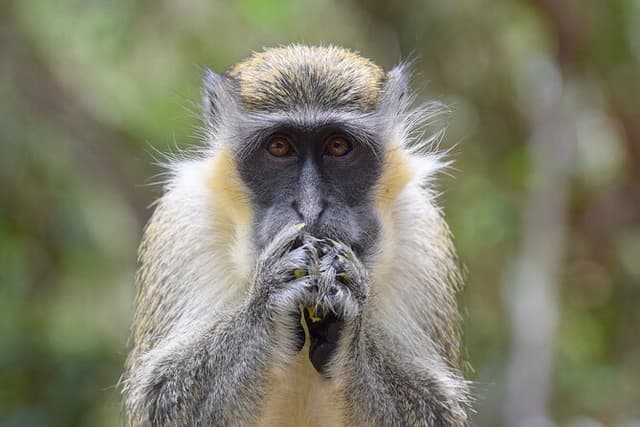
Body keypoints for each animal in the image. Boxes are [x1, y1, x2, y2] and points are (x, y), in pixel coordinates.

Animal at [120, 45, 469, 426]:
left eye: (338, 146)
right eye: (279, 147)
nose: (310, 207)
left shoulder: (422, 234)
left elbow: (435, 407)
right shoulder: (184, 223)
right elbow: (160, 398)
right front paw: (269, 297)